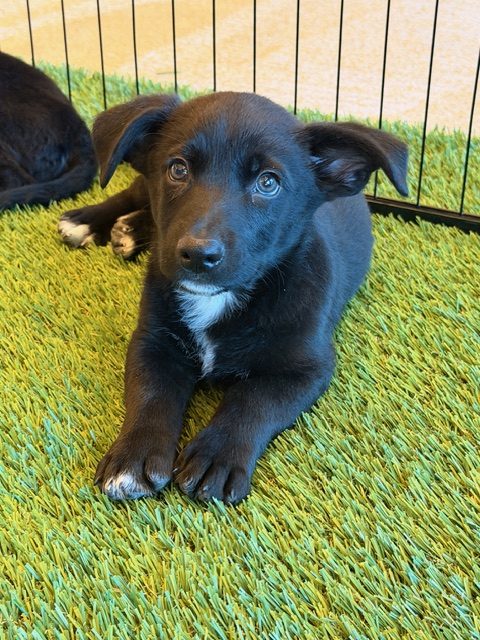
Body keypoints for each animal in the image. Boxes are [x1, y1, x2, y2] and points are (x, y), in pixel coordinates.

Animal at [59, 92, 408, 504]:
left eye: (268, 183)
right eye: (178, 170)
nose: (198, 254)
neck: (222, 299)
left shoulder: (304, 369)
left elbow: (252, 401)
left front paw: (217, 457)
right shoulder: (152, 341)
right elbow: (150, 395)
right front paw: (133, 457)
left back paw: (129, 230)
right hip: (141, 180)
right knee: (131, 191)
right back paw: (89, 221)